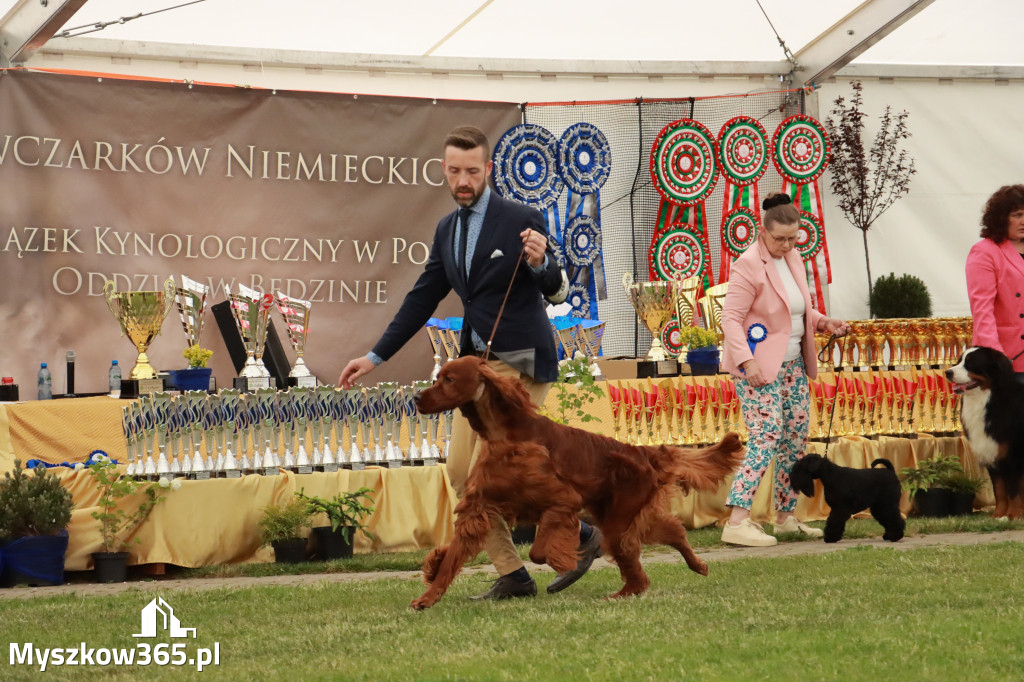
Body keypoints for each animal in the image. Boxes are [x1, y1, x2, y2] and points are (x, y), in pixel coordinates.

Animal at [942, 348, 1024, 518]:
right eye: (959, 361)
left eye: (971, 363)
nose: (947, 372)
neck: (989, 399)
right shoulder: (992, 453)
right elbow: (999, 491)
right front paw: (998, 516)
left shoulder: (1014, 456)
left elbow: (1014, 491)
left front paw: (1013, 515)